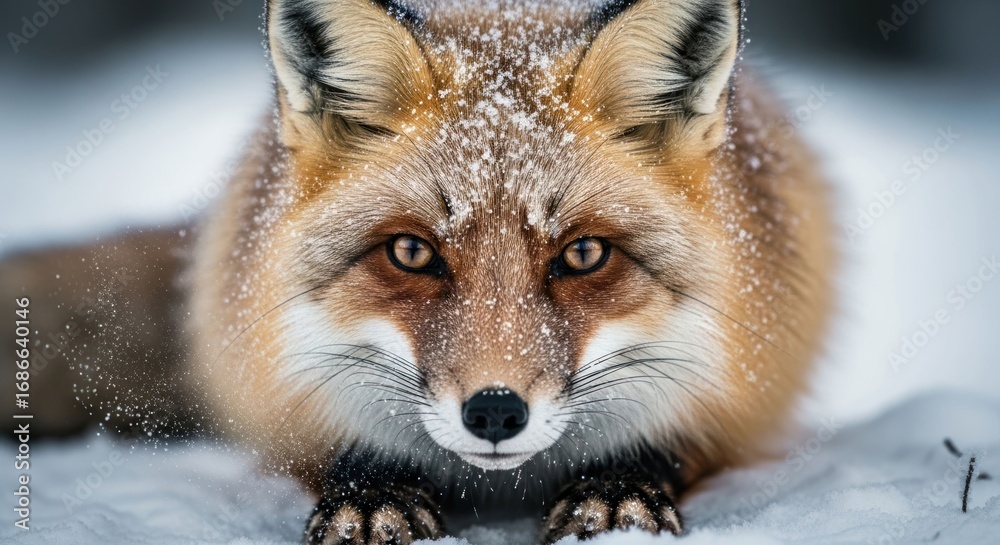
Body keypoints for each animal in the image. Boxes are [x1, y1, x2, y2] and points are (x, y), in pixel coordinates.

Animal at [1, 0, 834, 543]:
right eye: (411, 253)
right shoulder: (272, 375)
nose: (495, 412)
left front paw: (618, 484)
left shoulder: (747, 373)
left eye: (583, 254)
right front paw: (374, 491)